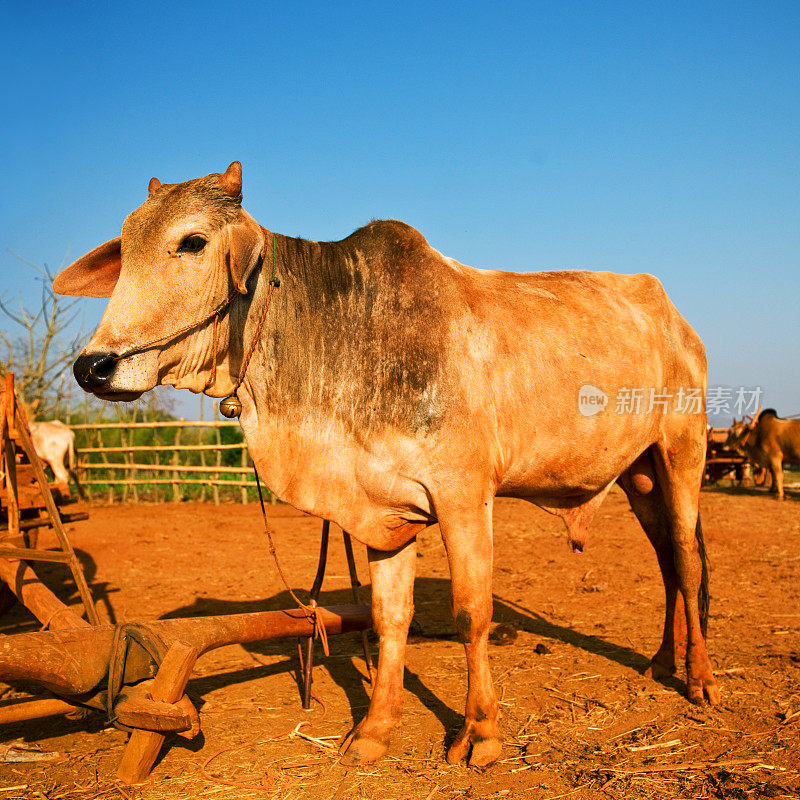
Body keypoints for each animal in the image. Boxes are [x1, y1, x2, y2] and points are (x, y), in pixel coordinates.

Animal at [54, 159, 720, 764]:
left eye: (192, 241)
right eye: (126, 247)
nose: (93, 366)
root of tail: (679, 322)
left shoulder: (463, 495)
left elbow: (470, 613)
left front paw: (481, 735)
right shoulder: (383, 510)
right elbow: (388, 617)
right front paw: (374, 732)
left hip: (682, 451)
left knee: (687, 563)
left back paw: (701, 680)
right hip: (639, 476)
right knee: (667, 562)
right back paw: (661, 662)